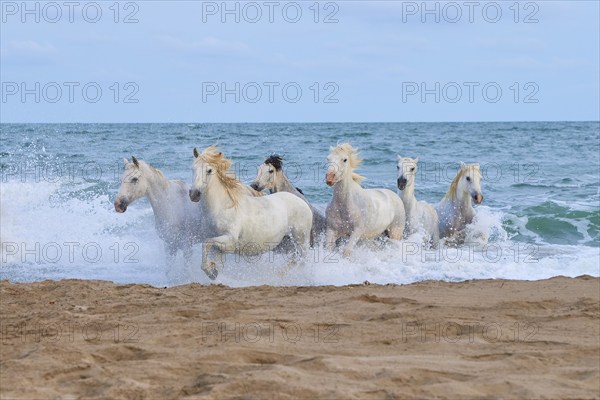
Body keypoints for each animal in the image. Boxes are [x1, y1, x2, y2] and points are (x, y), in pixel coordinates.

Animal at [190, 145, 314, 280]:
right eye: (193, 168)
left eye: (209, 170)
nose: (194, 194)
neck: (223, 208)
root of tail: (302, 202)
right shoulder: (218, 247)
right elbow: (212, 254)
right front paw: (213, 271)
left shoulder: (230, 240)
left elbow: (206, 242)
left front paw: (210, 271)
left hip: (301, 238)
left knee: (302, 259)